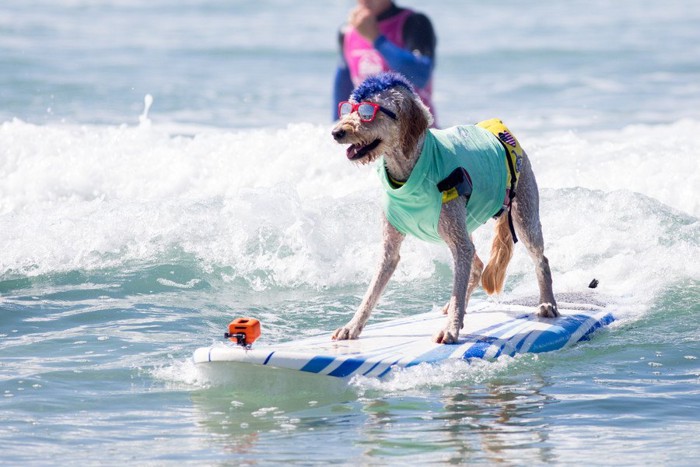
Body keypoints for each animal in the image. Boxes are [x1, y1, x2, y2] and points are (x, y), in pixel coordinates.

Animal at [332, 73, 556, 344]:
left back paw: (547, 304)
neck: (410, 167)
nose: (336, 132)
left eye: (367, 112)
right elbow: (371, 292)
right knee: (476, 266)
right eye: (348, 108)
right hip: (462, 225)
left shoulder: (459, 241)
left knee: (540, 259)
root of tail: (501, 131)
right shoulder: (389, 248)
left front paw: (451, 329)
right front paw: (352, 326)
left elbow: (457, 284)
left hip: (523, 214)